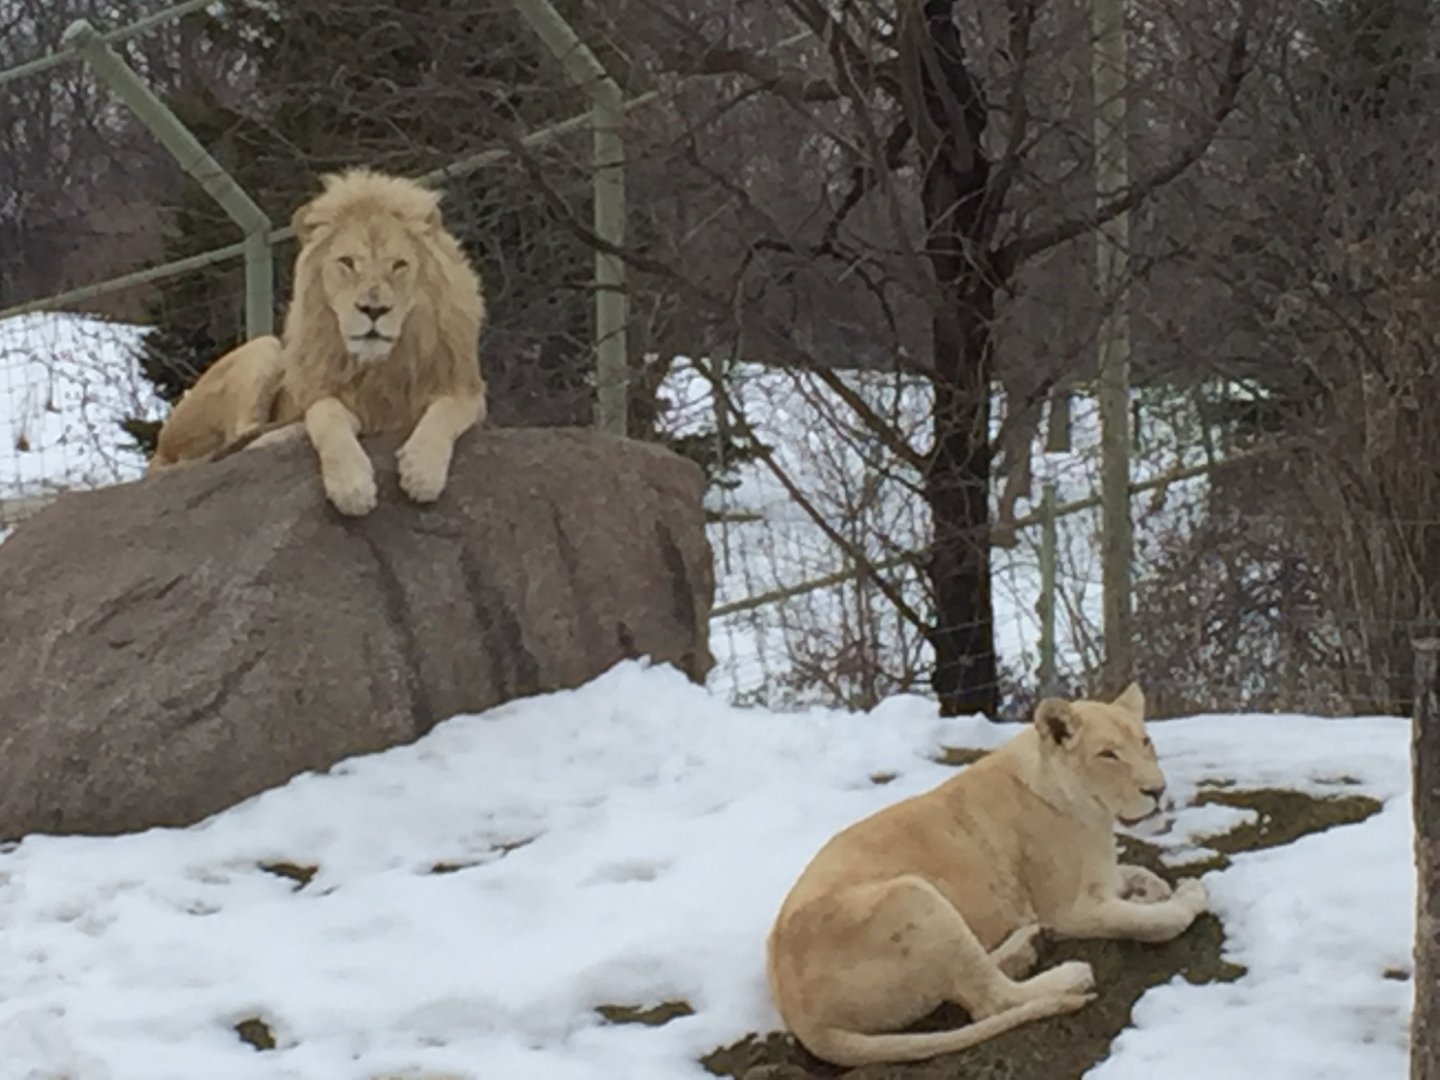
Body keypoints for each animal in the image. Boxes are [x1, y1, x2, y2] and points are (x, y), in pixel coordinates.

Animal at [148, 167, 488, 517]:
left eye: (399, 265)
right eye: (348, 262)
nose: (374, 310)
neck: (376, 364)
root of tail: (160, 447)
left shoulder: (468, 392)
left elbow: (443, 414)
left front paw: (422, 472)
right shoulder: (318, 394)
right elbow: (328, 416)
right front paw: (352, 487)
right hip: (266, 348)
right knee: (239, 436)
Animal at [765, 683, 1210, 1068]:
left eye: (1145, 742)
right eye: (1108, 755)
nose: (1158, 790)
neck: (1091, 814)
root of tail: (800, 1019)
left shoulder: (1097, 877)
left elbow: (1135, 872)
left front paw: (1152, 888)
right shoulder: (1069, 911)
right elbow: (1157, 922)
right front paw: (1188, 895)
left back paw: (1027, 946)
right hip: (913, 897)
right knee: (988, 1000)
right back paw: (1067, 973)